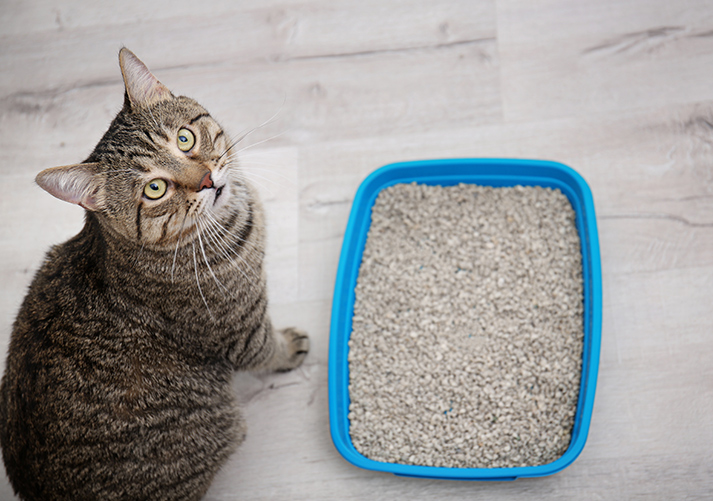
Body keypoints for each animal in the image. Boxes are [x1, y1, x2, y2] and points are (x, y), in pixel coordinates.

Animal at [0, 47, 308, 500]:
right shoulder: (239, 330)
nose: (207, 180)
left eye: (184, 138)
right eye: (155, 189)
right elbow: (268, 349)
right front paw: (290, 346)